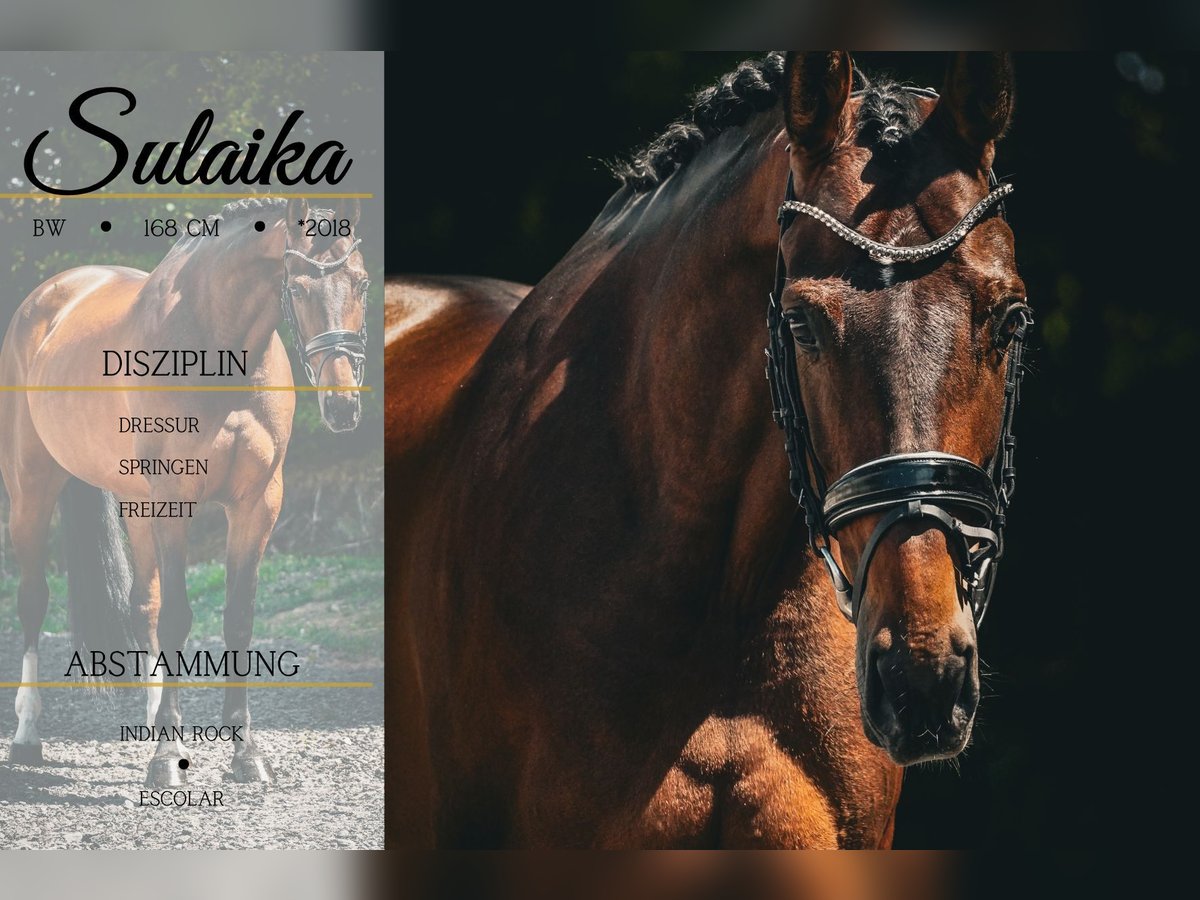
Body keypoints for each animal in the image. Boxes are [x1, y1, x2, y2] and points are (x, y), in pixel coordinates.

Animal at [1, 196, 370, 787]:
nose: (341, 406)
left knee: (142, 606)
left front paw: (245, 755)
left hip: (134, 504)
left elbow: (236, 617)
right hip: (31, 490)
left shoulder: (257, 503)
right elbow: (180, 617)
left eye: (360, 282)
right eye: (297, 286)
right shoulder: (174, 500)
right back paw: (28, 737)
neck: (216, 348)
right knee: (34, 602)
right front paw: (165, 760)